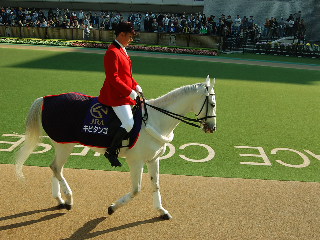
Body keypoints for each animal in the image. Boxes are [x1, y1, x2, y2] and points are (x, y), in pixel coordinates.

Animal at [14, 76, 215, 220]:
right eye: (212, 104)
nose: (212, 128)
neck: (156, 119)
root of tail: (46, 99)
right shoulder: (136, 162)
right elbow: (136, 189)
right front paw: (112, 208)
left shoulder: (153, 159)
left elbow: (156, 185)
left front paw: (161, 211)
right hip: (65, 145)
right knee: (56, 168)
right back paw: (69, 199)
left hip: (62, 144)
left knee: (55, 168)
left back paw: (60, 200)